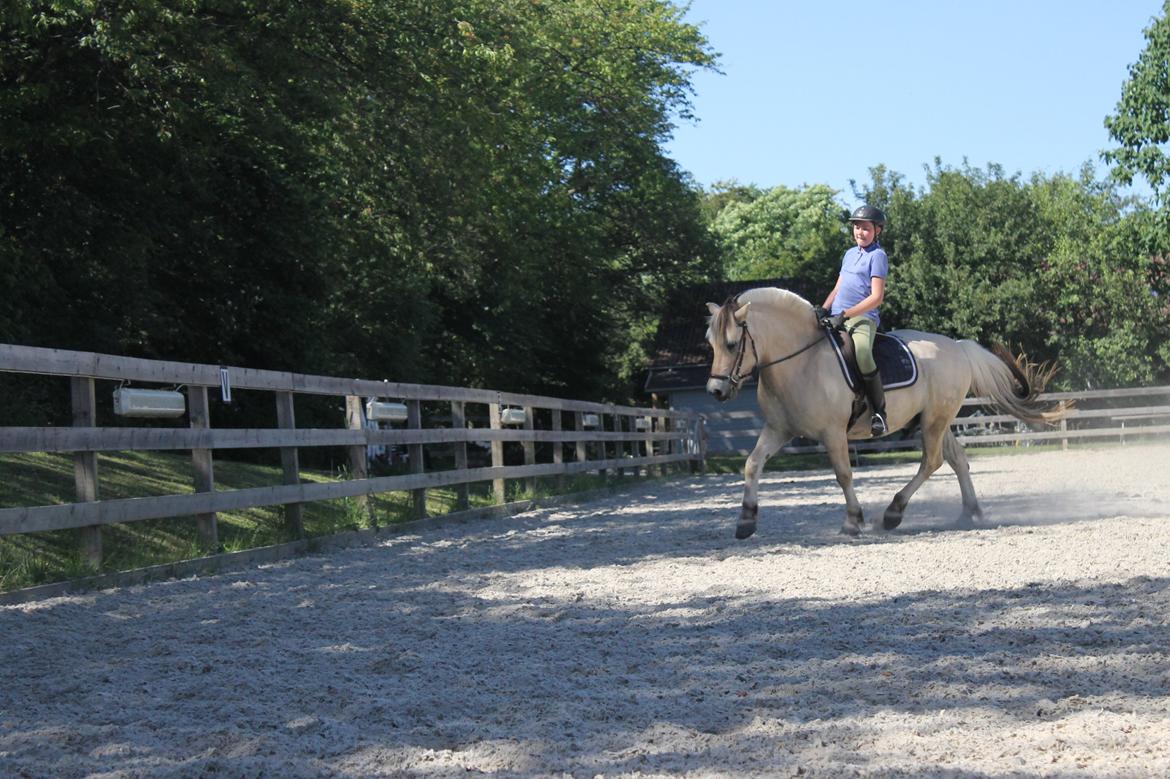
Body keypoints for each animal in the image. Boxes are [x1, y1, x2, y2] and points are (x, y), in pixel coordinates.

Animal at [702, 287, 1071, 538]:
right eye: (711, 343)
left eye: (732, 344)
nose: (715, 391)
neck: (801, 361)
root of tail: (958, 347)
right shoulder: (779, 429)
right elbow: (752, 464)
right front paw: (746, 520)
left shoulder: (833, 433)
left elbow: (843, 474)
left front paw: (853, 520)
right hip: (935, 420)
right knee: (957, 460)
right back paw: (970, 512)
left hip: (934, 421)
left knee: (932, 461)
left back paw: (894, 512)